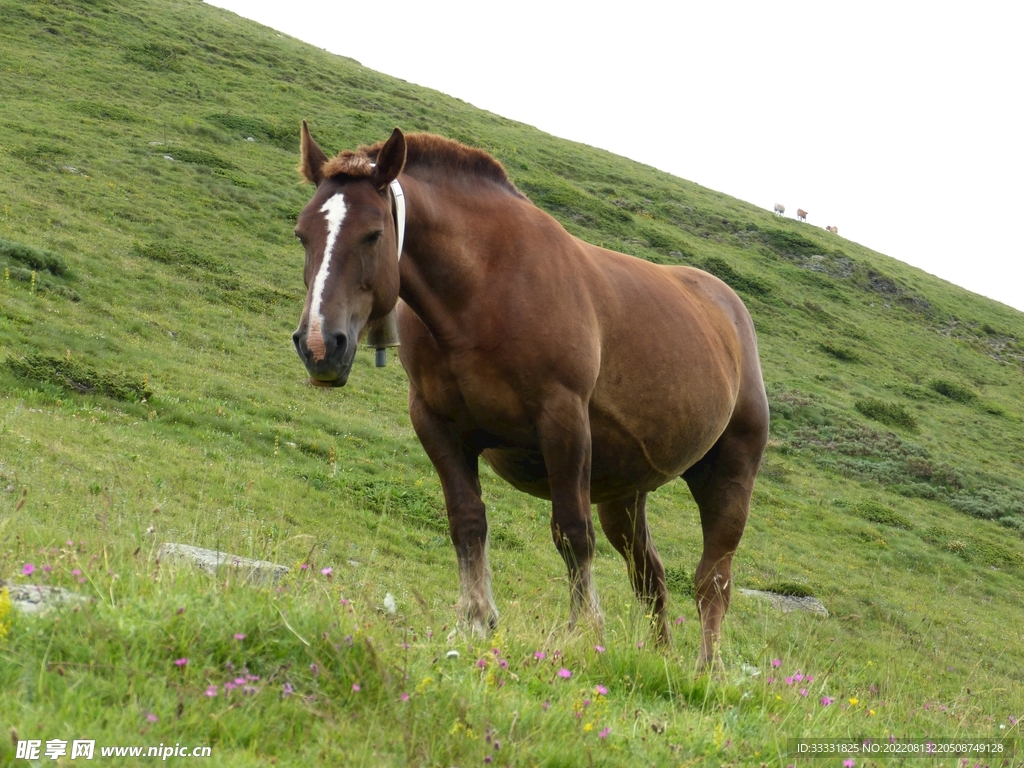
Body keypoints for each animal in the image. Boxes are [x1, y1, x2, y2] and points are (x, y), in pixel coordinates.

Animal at [290, 124, 770, 667]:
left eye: (373, 233)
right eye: (303, 233)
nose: (319, 345)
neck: (483, 291)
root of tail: (730, 308)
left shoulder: (562, 420)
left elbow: (571, 532)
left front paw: (583, 631)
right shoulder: (436, 425)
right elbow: (467, 521)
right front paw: (476, 620)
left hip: (728, 473)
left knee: (713, 580)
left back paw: (704, 667)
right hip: (625, 494)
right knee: (650, 575)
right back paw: (661, 657)